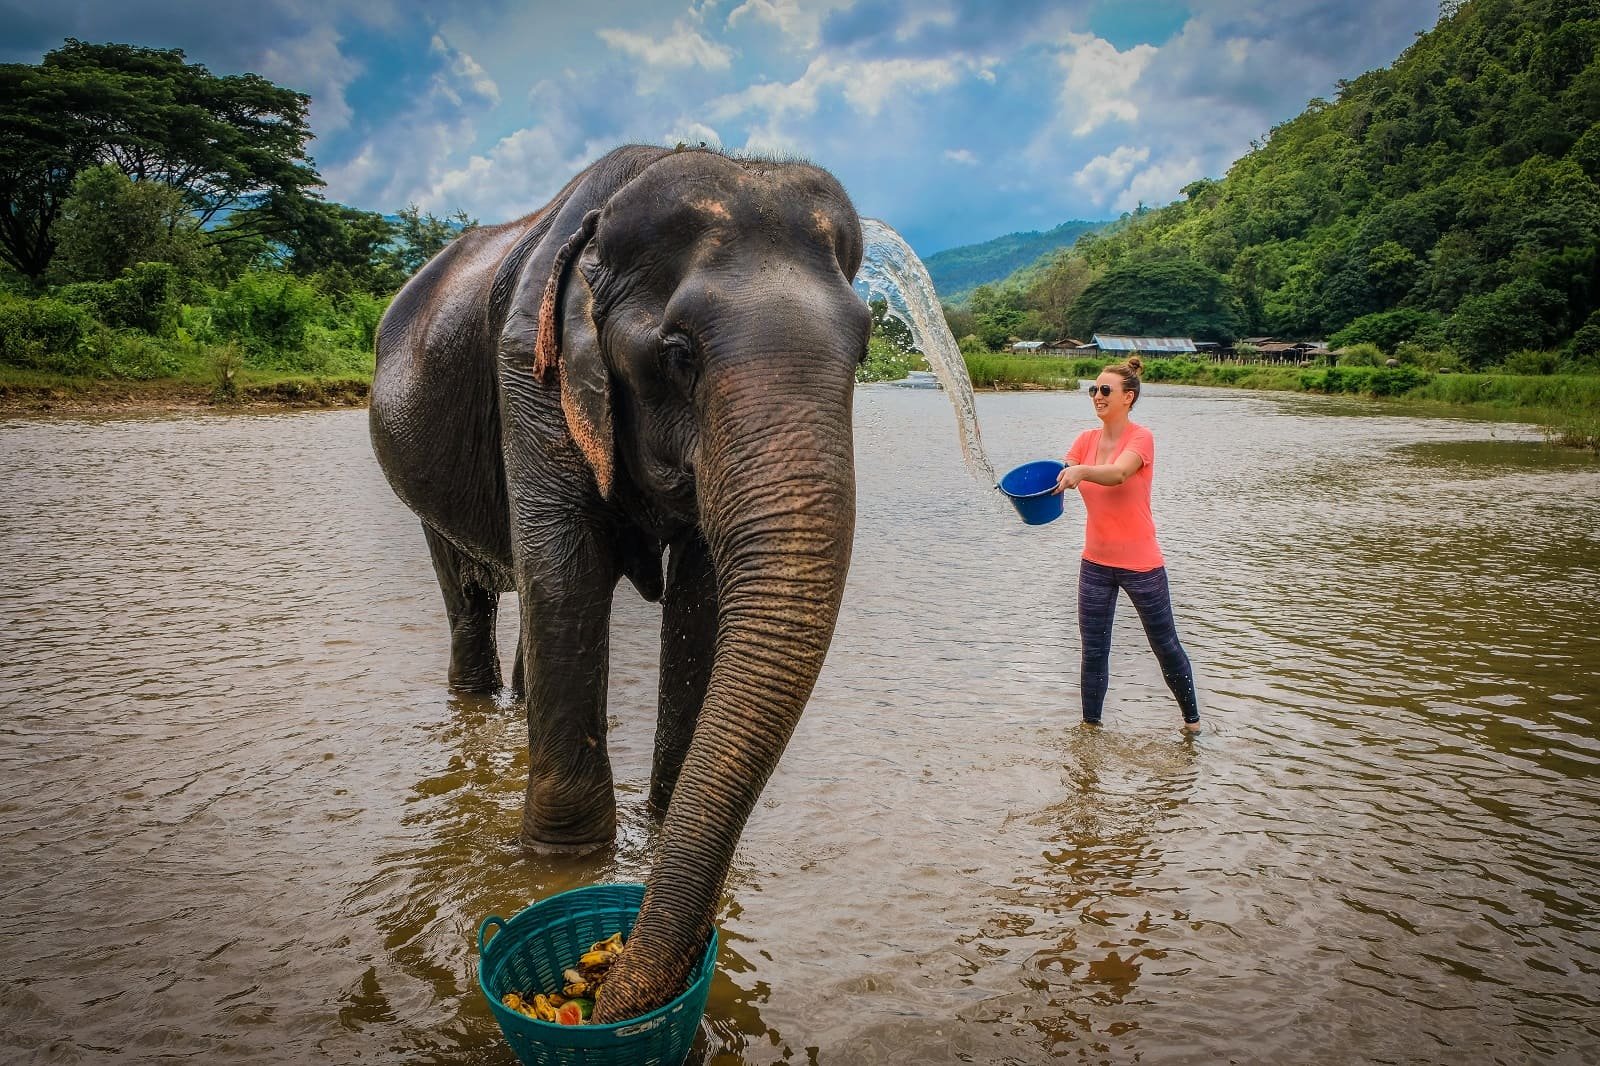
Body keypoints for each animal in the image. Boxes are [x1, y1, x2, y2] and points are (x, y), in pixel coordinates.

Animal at [368, 145, 870, 1017]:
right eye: (679, 354)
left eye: (868, 347)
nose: (611, 996)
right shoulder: (528, 377)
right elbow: (569, 573)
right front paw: (563, 866)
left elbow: (703, 597)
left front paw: (659, 823)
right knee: (471, 595)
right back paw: (475, 695)